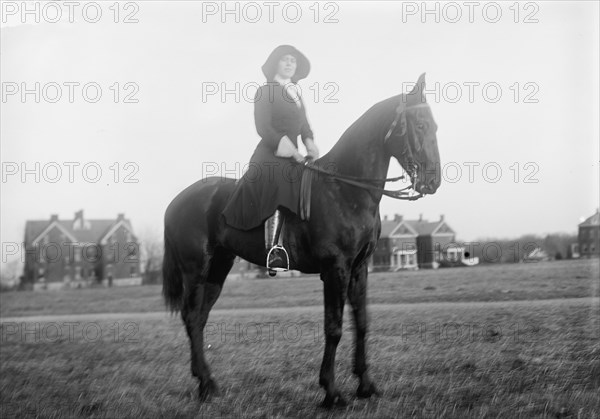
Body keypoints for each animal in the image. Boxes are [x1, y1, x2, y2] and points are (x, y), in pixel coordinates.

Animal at [163, 74, 440, 408]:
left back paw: (209, 383)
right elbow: (333, 327)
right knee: (192, 317)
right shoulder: (335, 269)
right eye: (420, 125)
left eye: (435, 126)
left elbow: (361, 322)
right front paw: (331, 392)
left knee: (200, 318)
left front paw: (366, 385)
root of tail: (175, 202)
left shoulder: (359, 268)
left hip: (218, 269)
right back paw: (204, 385)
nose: (433, 181)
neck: (346, 189)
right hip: (195, 269)